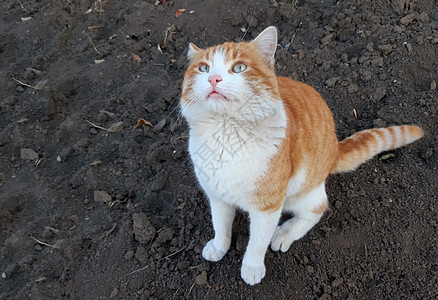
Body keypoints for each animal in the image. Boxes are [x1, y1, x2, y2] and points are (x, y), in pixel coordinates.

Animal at [179, 26, 424, 286]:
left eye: (239, 68)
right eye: (203, 68)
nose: (213, 79)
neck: (226, 134)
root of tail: (335, 148)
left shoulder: (269, 206)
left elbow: (257, 242)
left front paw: (252, 267)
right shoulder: (216, 195)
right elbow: (220, 225)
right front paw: (219, 247)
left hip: (301, 191)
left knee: (317, 209)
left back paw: (284, 233)